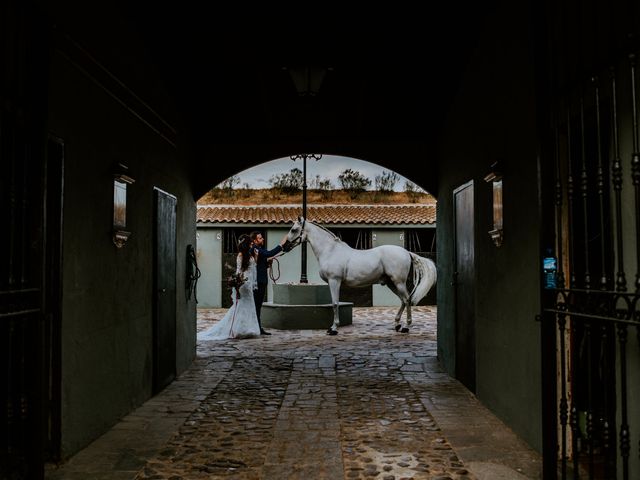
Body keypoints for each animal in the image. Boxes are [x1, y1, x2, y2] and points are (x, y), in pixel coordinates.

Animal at [284, 217, 438, 334]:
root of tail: (406, 252)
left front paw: (333, 328)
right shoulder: (333, 282)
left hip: (398, 282)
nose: (284, 246)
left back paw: (405, 327)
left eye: (294, 230)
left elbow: (335, 303)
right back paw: (397, 325)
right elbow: (335, 303)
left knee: (407, 300)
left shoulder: (334, 281)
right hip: (391, 284)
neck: (330, 251)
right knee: (403, 301)